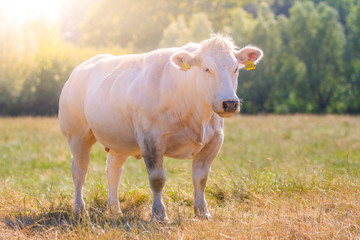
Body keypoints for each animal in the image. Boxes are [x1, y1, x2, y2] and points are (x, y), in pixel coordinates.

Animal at [58, 34, 262, 221]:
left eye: (235, 68)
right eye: (206, 69)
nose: (230, 103)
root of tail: (77, 70)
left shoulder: (214, 141)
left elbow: (201, 178)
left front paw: (202, 212)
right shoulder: (151, 139)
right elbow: (157, 179)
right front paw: (159, 214)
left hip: (119, 139)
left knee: (113, 171)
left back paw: (115, 210)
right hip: (78, 134)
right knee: (79, 170)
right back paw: (80, 210)